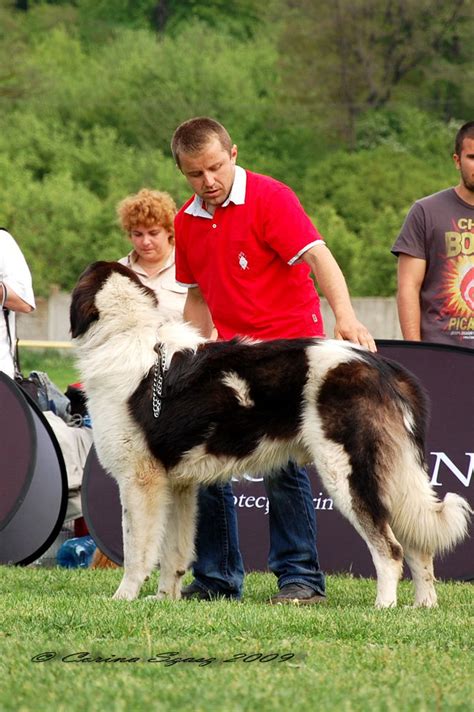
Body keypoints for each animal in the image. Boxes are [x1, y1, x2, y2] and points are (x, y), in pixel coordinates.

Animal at [70, 262, 470, 608]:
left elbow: (136, 550)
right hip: (395, 477)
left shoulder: (140, 481)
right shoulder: (177, 486)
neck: (126, 334)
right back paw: (422, 605)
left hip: (348, 474)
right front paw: (165, 599)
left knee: (390, 548)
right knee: (419, 544)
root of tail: (381, 366)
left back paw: (383, 606)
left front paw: (124, 597)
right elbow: (174, 553)